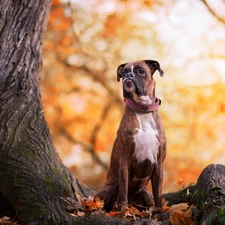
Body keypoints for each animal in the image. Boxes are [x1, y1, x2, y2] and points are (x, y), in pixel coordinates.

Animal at [96, 59, 166, 211]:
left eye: (141, 71)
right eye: (123, 73)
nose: (129, 75)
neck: (143, 110)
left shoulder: (158, 163)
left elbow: (158, 192)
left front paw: (160, 212)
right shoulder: (125, 160)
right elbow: (123, 189)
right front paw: (122, 211)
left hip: (146, 195)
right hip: (108, 189)